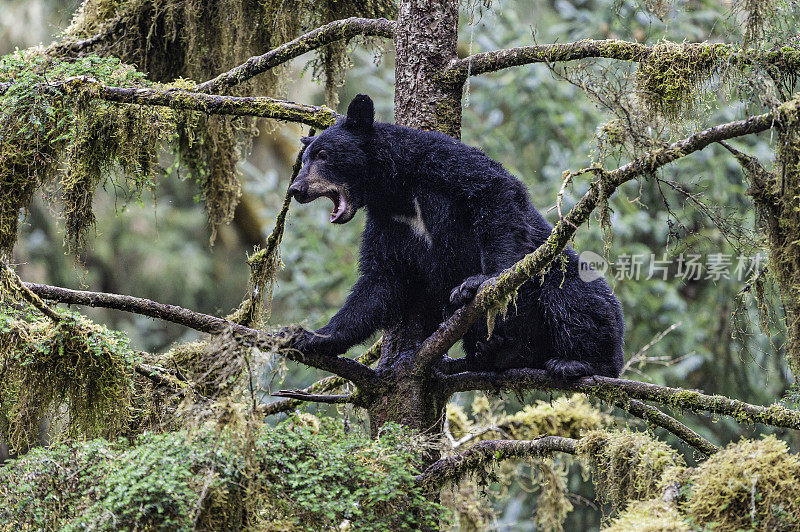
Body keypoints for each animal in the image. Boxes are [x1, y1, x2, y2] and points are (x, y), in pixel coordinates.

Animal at [286, 95, 624, 378]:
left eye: (323, 154)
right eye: (304, 160)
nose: (296, 189)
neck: (396, 190)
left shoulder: (441, 164)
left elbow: (495, 192)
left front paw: (479, 281)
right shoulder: (387, 224)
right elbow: (380, 281)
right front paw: (311, 336)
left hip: (567, 278)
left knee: (571, 295)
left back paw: (576, 362)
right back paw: (494, 353)